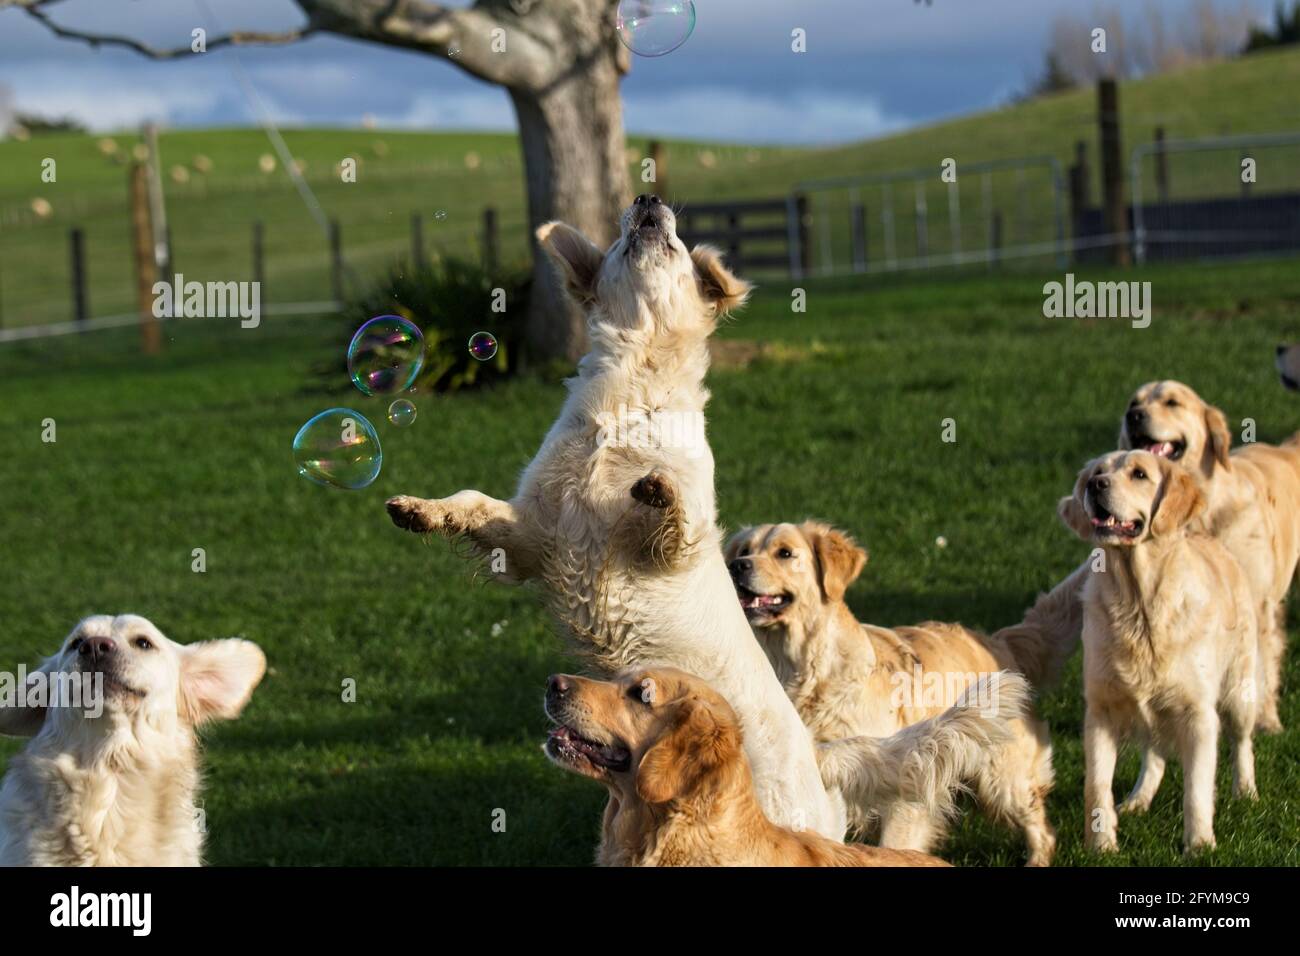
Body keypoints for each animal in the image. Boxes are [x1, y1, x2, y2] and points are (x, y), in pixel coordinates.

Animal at [390, 195, 842, 837]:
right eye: (615, 242)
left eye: (678, 246)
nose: (648, 199)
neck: (631, 391)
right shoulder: (533, 534)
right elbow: (471, 501)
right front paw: (420, 510)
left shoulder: (673, 550)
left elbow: (679, 512)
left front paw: (658, 487)